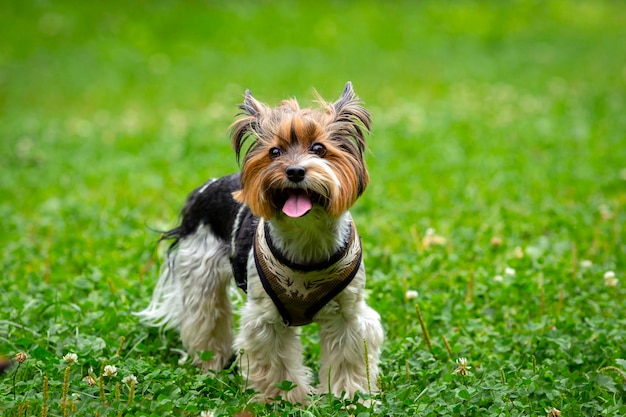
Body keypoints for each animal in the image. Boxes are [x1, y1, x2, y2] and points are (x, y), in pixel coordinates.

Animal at [136, 83, 380, 402]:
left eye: (319, 149)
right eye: (274, 152)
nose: (294, 171)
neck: (307, 236)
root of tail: (206, 187)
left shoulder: (349, 312)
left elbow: (349, 351)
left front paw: (348, 394)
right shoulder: (266, 317)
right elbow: (274, 357)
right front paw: (284, 397)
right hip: (200, 269)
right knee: (205, 316)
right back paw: (211, 363)